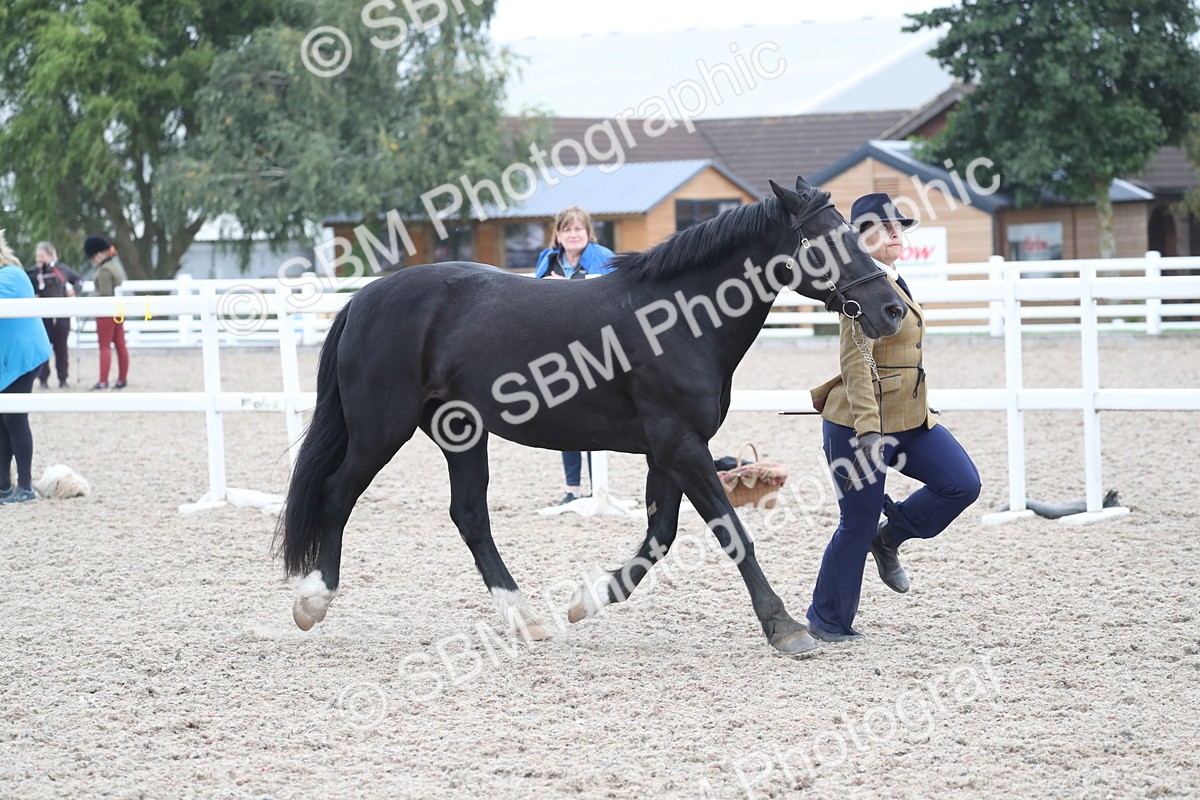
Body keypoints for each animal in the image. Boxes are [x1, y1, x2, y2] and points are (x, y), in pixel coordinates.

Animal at [277, 176, 906, 655]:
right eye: (825, 241)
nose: (892, 309)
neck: (678, 319)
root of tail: (365, 297)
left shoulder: (667, 450)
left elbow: (659, 537)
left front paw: (588, 600)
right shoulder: (680, 444)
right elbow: (732, 533)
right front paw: (784, 627)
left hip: (460, 433)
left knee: (469, 516)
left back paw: (525, 617)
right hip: (381, 428)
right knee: (337, 493)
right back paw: (312, 601)